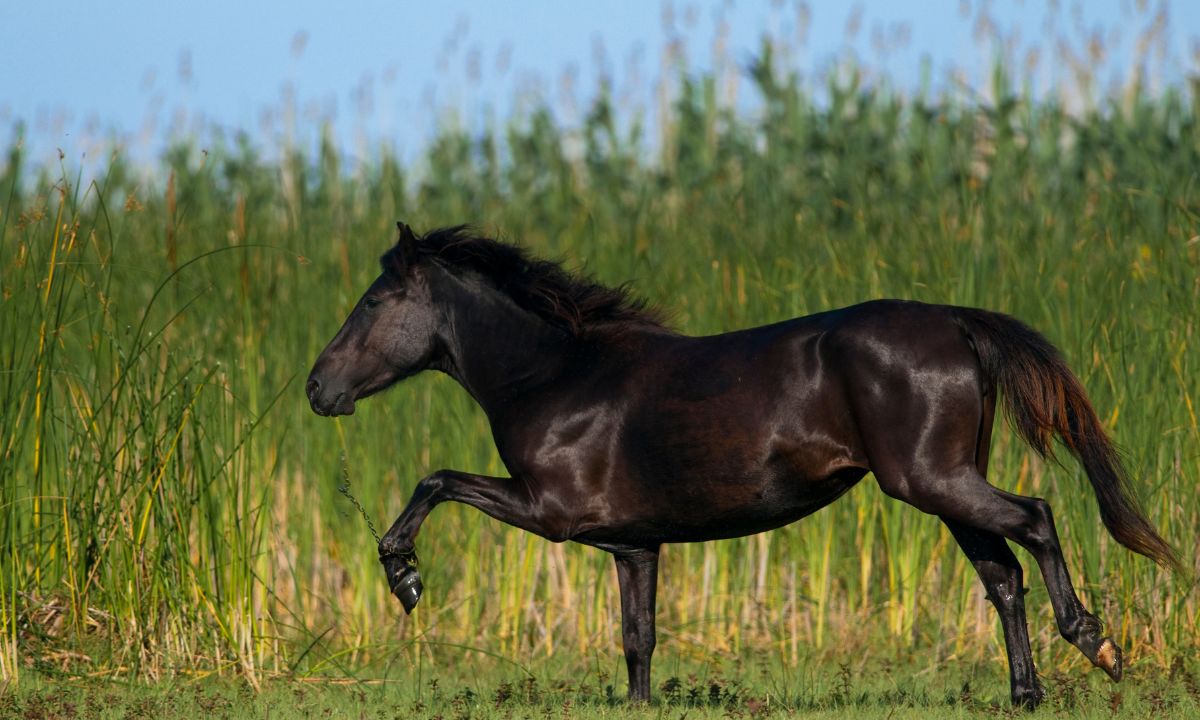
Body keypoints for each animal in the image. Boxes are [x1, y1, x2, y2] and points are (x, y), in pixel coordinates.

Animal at [304, 223, 1176, 710]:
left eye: (375, 302)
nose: (318, 388)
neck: (555, 375)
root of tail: (957, 323)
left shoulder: (551, 510)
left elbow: (436, 480)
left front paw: (405, 577)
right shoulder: (632, 543)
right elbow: (638, 637)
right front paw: (638, 704)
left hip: (933, 481)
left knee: (1036, 519)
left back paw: (1097, 644)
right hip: (945, 486)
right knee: (1002, 577)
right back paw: (1026, 694)